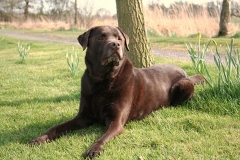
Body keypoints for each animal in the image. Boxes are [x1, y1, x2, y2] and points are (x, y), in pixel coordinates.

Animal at [29, 25, 205, 158]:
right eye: (101, 37)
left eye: (119, 38)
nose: (115, 45)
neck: (101, 81)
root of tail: (185, 73)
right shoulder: (83, 117)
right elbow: (57, 127)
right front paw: (40, 138)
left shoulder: (116, 122)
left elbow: (102, 137)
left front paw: (94, 149)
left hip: (183, 85)